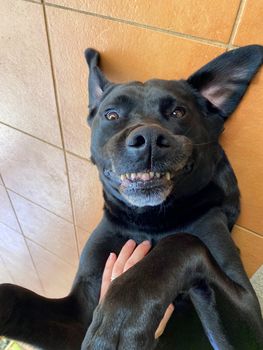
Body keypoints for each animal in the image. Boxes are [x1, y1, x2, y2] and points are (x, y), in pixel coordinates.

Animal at [0, 45, 263, 348]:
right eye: (111, 115)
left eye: (178, 112)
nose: (148, 139)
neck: (148, 222)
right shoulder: (79, 314)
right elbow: (12, 293)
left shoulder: (249, 312)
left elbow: (183, 243)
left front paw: (123, 317)